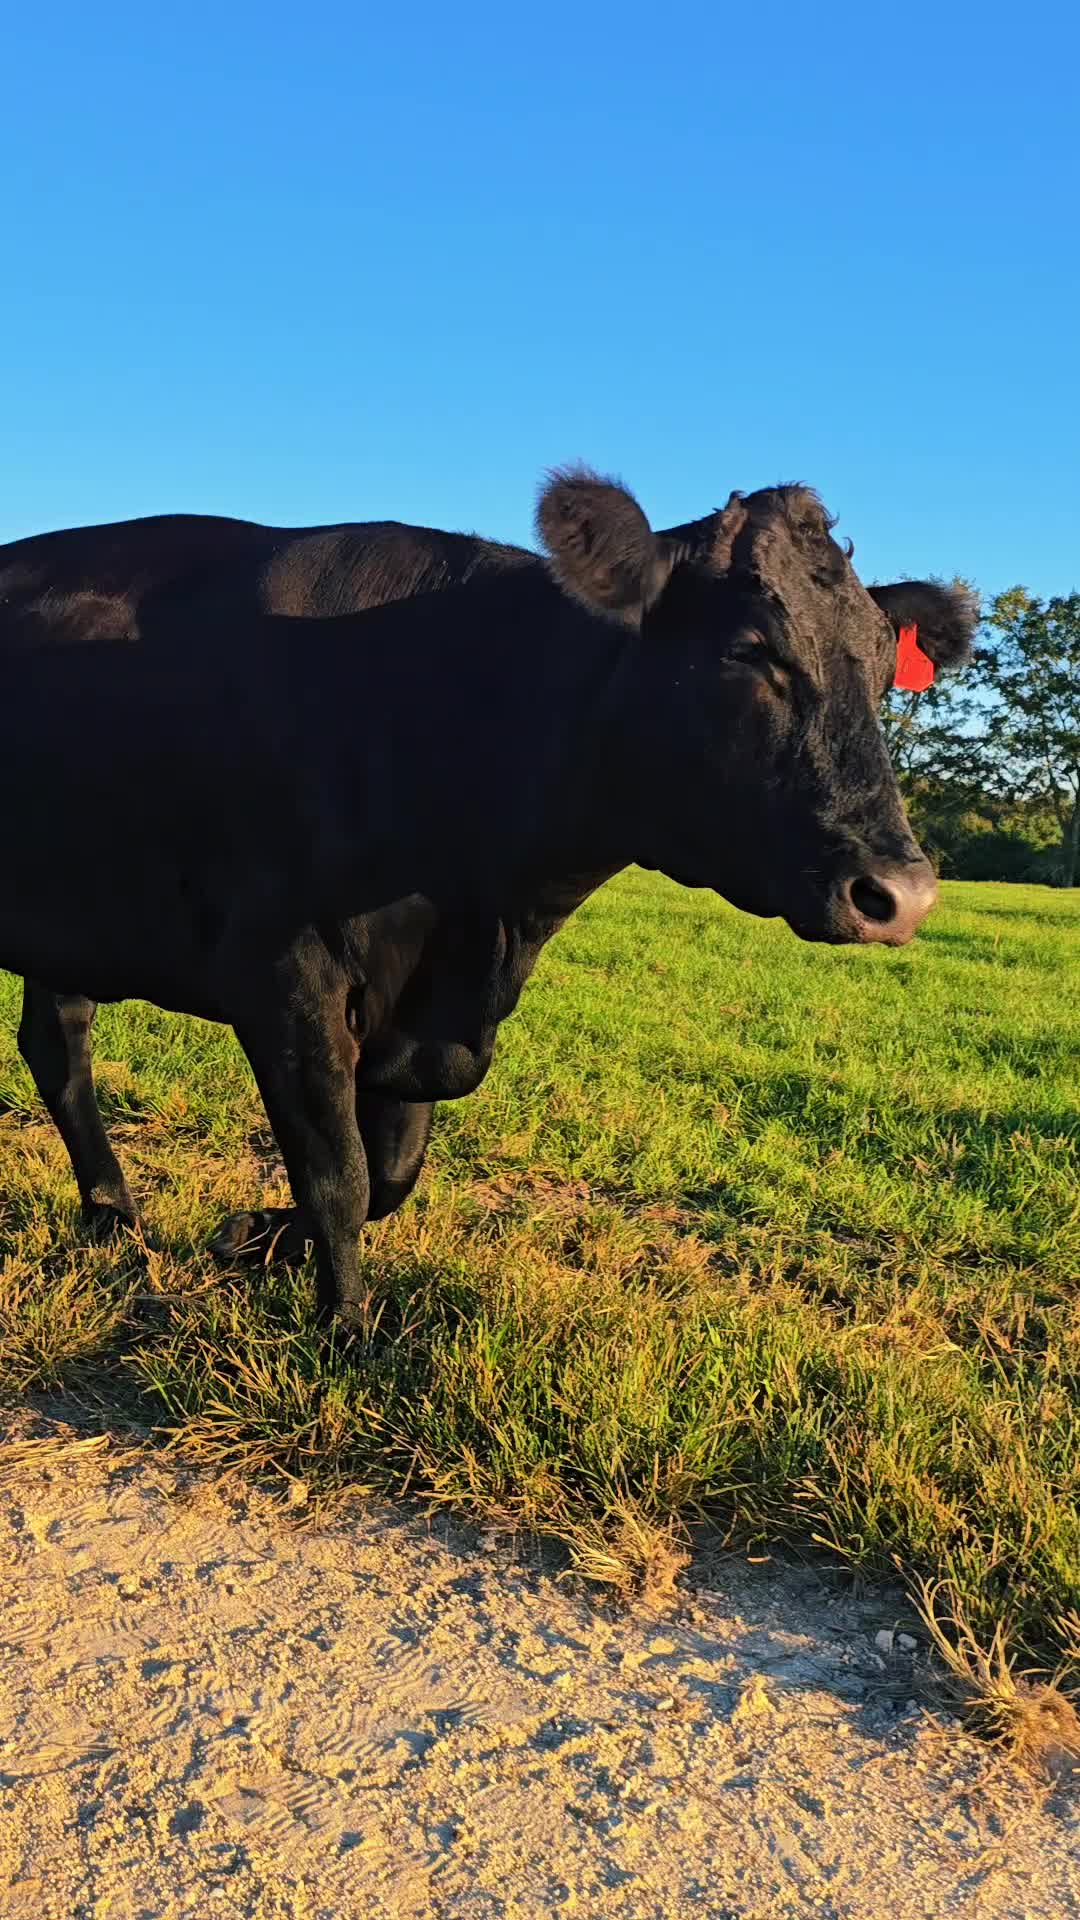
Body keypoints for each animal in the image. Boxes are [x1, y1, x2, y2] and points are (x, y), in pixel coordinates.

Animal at [0, 471, 976, 1324]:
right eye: (750, 651)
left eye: (883, 669)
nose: (900, 895)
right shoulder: (282, 972)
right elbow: (338, 1172)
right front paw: (343, 1327)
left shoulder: (423, 1002)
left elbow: (391, 1172)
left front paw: (256, 1238)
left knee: (58, 1045)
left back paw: (110, 1215)